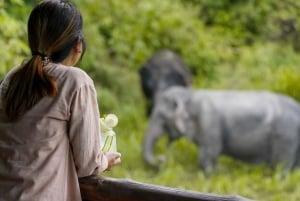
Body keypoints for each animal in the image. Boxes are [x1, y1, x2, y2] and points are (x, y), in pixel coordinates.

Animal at [142, 85, 300, 174]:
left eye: (161, 116)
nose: (162, 158)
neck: (190, 95)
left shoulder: (209, 122)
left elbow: (209, 153)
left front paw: (210, 175)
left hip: (285, 135)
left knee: (280, 166)